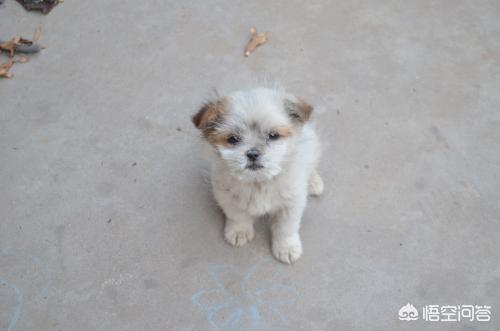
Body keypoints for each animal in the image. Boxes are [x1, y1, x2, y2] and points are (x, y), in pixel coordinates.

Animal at [191, 87, 324, 264]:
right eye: (233, 139)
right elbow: (237, 215)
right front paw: (239, 232)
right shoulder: (225, 196)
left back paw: (314, 183)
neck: (258, 182)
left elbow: (286, 227)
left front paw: (286, 248)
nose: (253, 154)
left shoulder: (292, 203)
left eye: (273, 135)